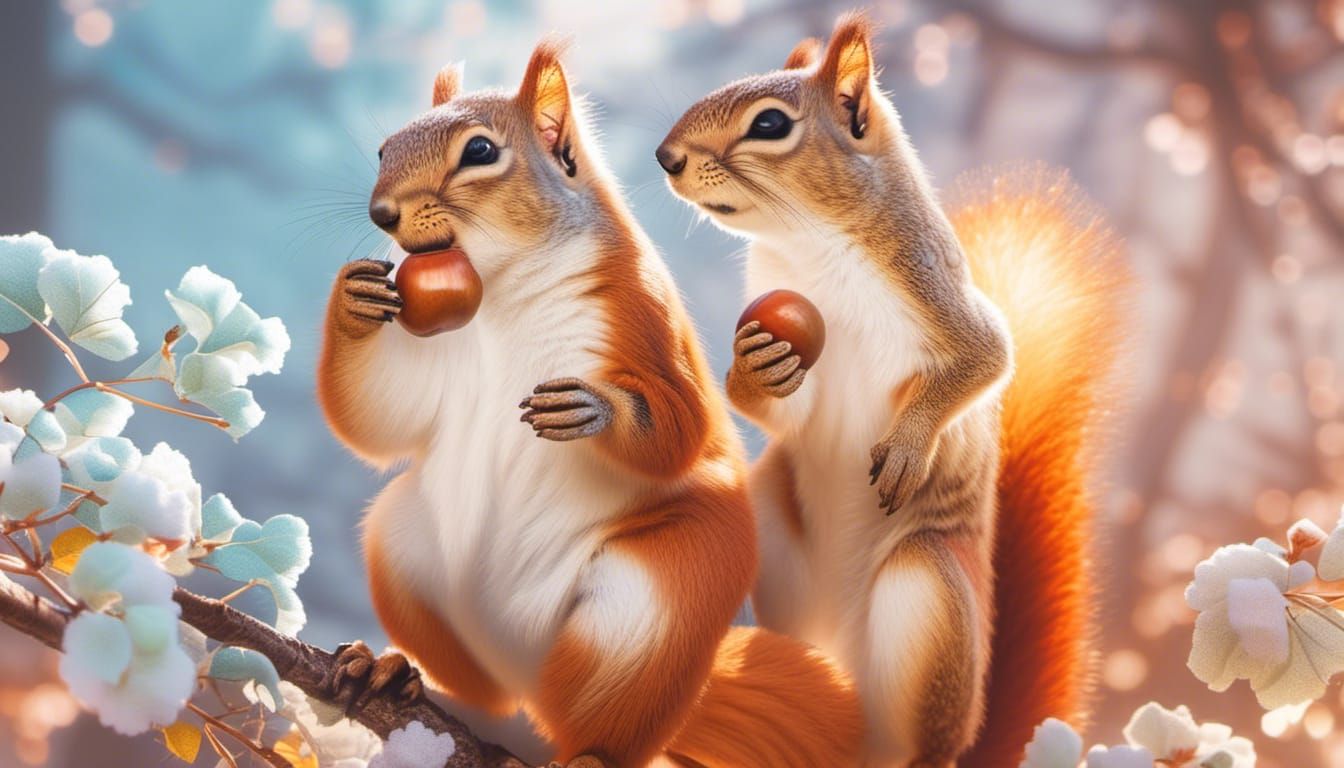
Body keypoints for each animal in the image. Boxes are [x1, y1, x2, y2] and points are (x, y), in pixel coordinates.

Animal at [317, 40, 862, 768]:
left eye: (481, 151)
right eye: (385, 148)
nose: (382, 215)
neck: (502, 291)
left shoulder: (641, 317)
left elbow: (681, 427)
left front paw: (595, 412)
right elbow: (381, 418)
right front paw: (354, 300)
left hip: (660, 594)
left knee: (608, 714)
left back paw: (587, 752)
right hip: (403, 546)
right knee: (487, 694)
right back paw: (397, 673)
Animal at [656, 13, 1127, 768]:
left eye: (769, 124)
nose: (665, 157)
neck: (813, 245)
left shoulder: (941, 295)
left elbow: (985, 362)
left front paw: (909, 443)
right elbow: (790, 413)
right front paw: (755, 368)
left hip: (927, 594)